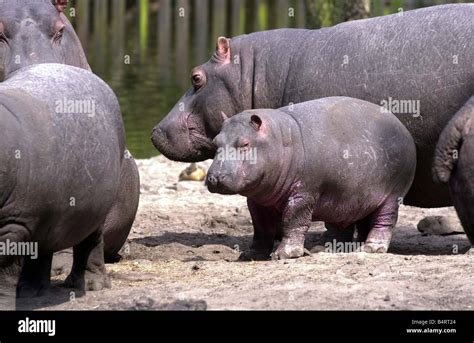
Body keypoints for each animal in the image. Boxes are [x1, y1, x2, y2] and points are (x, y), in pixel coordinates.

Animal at [0, 63, 128, 310]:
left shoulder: (12, 226)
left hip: (94, 212)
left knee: (90, 244)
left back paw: (90, 285)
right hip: (49, 215)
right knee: (42, 252)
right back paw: (30, 292)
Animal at [206, 97, 416, 260]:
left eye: (245, 143)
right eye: (215, 141)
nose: (214, 178)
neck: (277, 138)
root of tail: (402, 127)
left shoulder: (304, 193)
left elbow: (293, 220)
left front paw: (285, 254)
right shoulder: (257, 200)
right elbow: (261, 227)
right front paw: (250, 255)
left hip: (393, 195)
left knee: (385, 219)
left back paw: (373, 247)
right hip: (357, 196)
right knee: (358, 220)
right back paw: (337, 248)